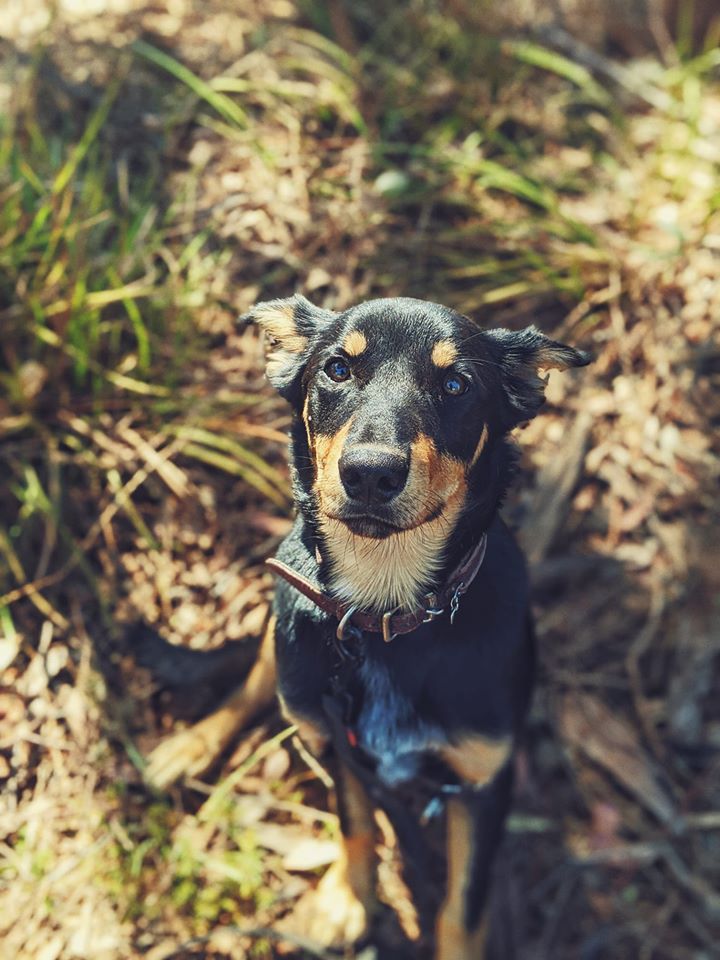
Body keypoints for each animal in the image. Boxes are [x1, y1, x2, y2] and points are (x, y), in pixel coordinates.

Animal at [146, 294, 590, 958]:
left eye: (456, 385)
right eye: (337, 368)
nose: (371, 474)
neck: (385, 612)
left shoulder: (482, 783)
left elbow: (462, 907)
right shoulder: (333, 739)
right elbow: (355, 819)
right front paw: (346, 900)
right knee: (258, 678)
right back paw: (189, 746)